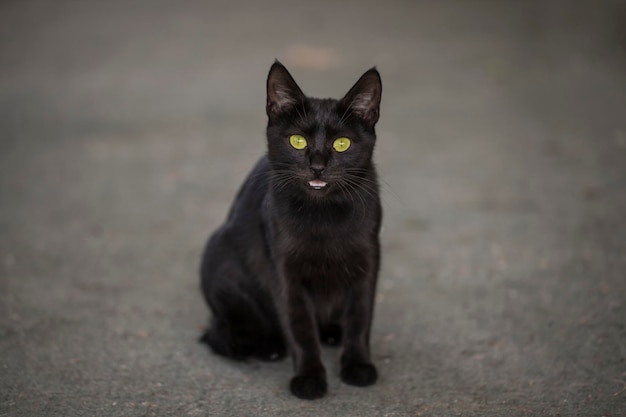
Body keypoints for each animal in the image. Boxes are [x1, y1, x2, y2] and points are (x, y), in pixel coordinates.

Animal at [200, 61, 380, 400]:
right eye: (298, 141)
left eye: (342, 144)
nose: (318, 165)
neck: (323, 215)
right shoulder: (285, 273)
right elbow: (300, 328)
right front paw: (309, 379)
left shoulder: (369, 260)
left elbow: (360, 317)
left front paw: (358, 366)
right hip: (220, 259)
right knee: (222, 333)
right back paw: (267, 345)